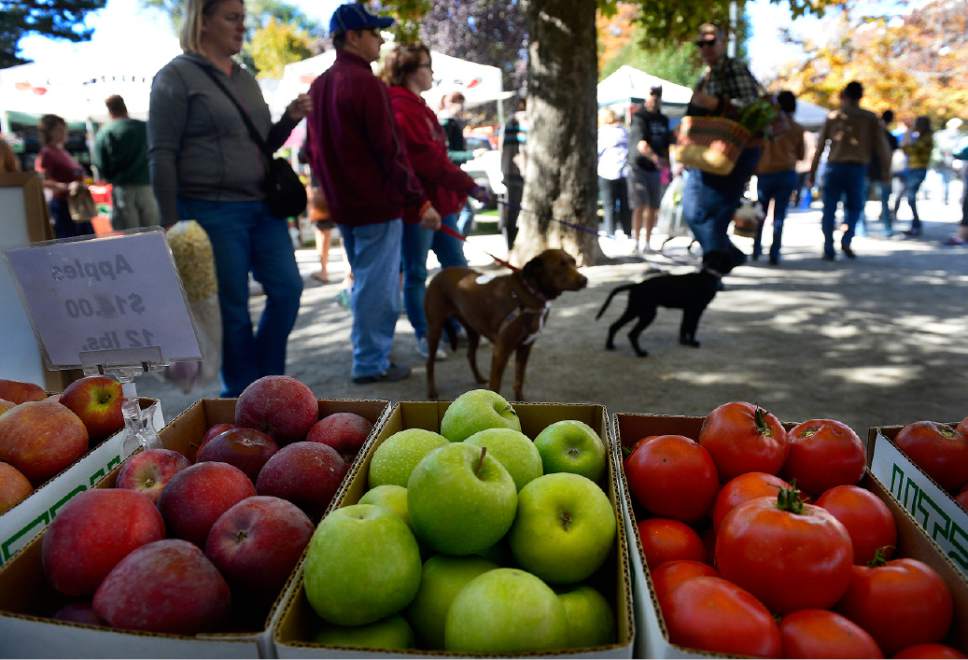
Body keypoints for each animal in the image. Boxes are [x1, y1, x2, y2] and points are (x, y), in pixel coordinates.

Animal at [426, 249, 588, 400]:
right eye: (560, 265)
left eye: (574, 262)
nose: (585, 280)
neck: (531, 293)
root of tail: (441, 273)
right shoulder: (501, 351)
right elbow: (495, 387)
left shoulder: (525, 348)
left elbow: (519, 380)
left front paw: (521, 401)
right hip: (435, 329)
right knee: (430, 362)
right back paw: (432, 391)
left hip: (472, 330)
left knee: (470, 355)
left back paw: (479, 378)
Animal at [588, 251, 732, 356]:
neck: (708, 275)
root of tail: (636, 285)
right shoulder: (696, 310)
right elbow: (692, 328)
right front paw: (692, 343)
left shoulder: (687, 310)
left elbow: (684, 327)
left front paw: (684, 342)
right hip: (647, 314)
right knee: (632, 334)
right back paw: (640, 353)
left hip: (634, 310)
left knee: (614, 326)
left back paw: (610, 346)